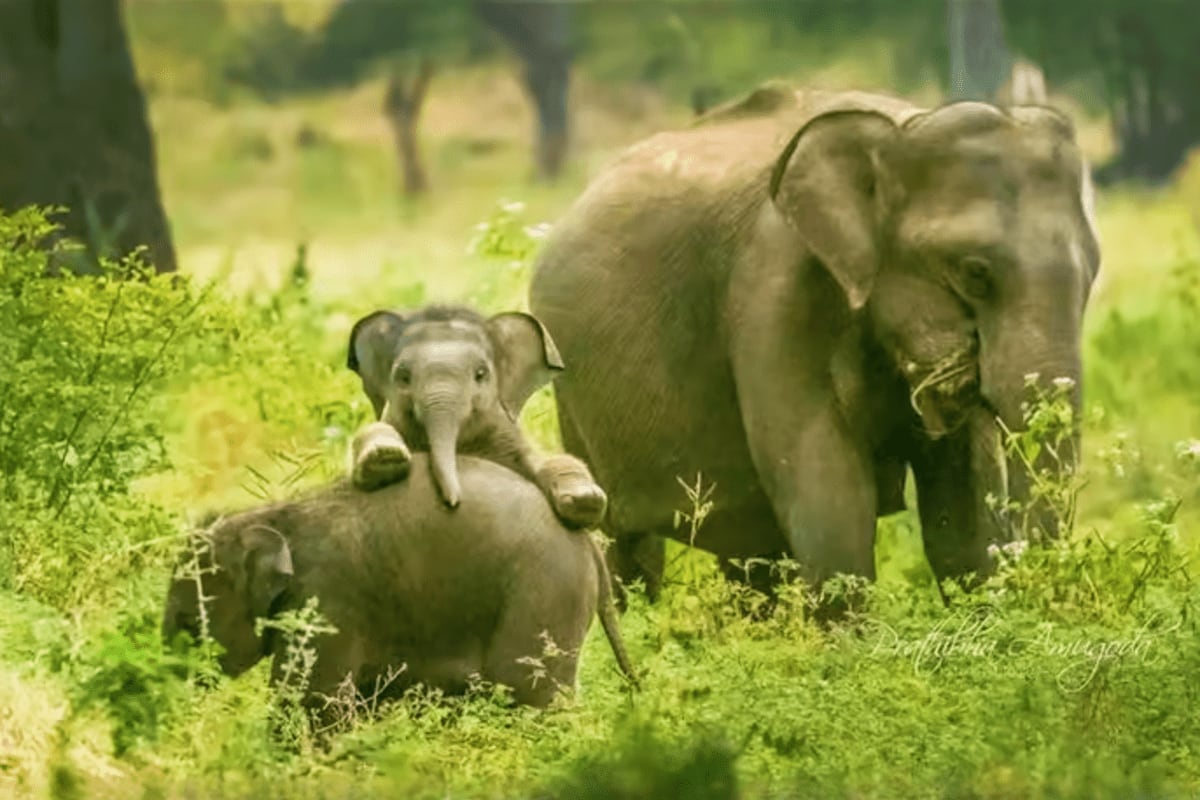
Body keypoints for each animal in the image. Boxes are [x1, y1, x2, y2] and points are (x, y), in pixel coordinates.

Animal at [161, 453, 637, 717]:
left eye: (188, 624)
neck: (276, 514)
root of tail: (587, 542)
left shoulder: (325, 601)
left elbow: (313, 701)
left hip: (543, 596)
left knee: (530, 695)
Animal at [346, 304, 607, 530]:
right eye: (403, 377)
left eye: (481, 374)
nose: (452, 504)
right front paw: (386, 457)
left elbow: (548, 460)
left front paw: (585, 500)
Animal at [528, 83, 1101, 603]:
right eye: (975, 273)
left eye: (1092, 274)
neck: (904, 128)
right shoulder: (774, 286)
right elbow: (827, 492)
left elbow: (962, 516)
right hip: (573, 397)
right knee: (625, 545)